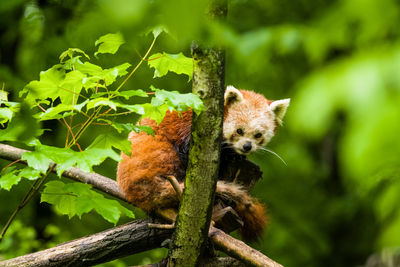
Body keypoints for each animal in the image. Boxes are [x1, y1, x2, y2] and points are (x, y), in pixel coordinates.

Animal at [117, 86, 290, 243]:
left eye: (258, 135)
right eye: (239, 131)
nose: (247, 146)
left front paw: (237, 156)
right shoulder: (189, 128)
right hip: (156, 156)